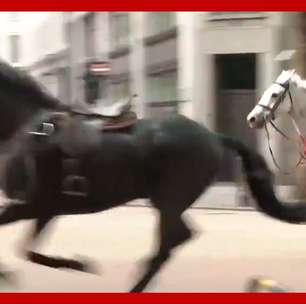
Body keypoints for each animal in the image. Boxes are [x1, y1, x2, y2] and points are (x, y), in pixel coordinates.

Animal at [0, 60, 304, 292]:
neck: (34, 130)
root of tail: (214, 137)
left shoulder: (38, 204)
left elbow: (26, 250)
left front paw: (78, 264)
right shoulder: (44, 208)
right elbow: (28, 251)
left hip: (170, 199)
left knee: (172, 240)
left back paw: (136, 284)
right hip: (166, 202)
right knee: (177, 238)